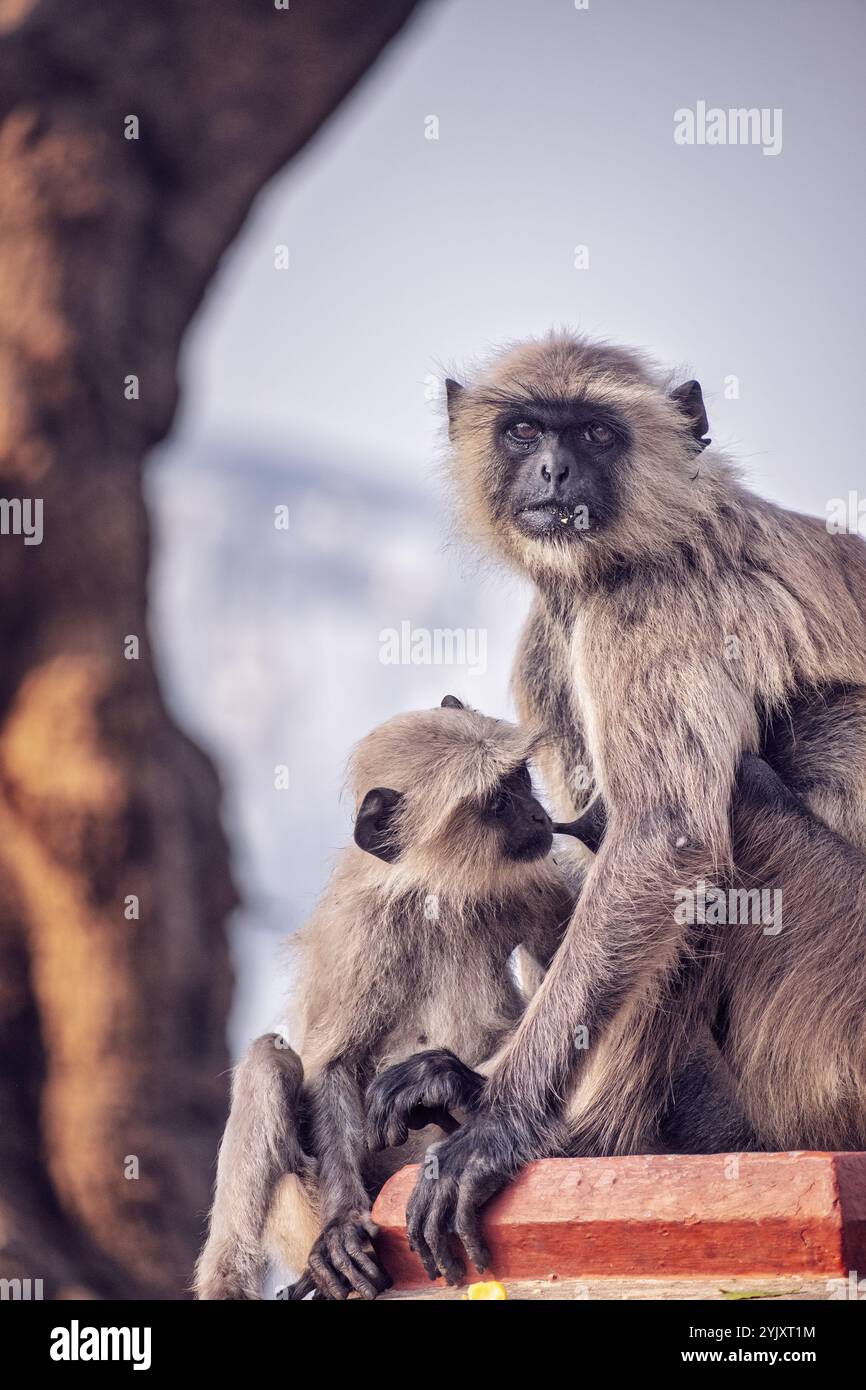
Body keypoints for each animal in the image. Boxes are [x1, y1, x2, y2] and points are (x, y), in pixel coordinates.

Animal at [193, 700, 578, 1295]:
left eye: (519, 781)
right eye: (498, 803)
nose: (539, 817)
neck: (433, 891)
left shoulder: (535, 880)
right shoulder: (361, 929)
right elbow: (332, 1063)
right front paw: (343, 1224)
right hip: (301, 1208)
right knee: (268, 1060)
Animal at [375, 333, 866, 1278]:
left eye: (597, 433)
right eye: (526, 431)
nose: (556, 471)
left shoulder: (650, 600)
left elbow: (662, 839)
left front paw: (495, 1123)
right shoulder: (551, 633)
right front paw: (468, 1087)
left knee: (731, 806)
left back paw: (591, 1141)